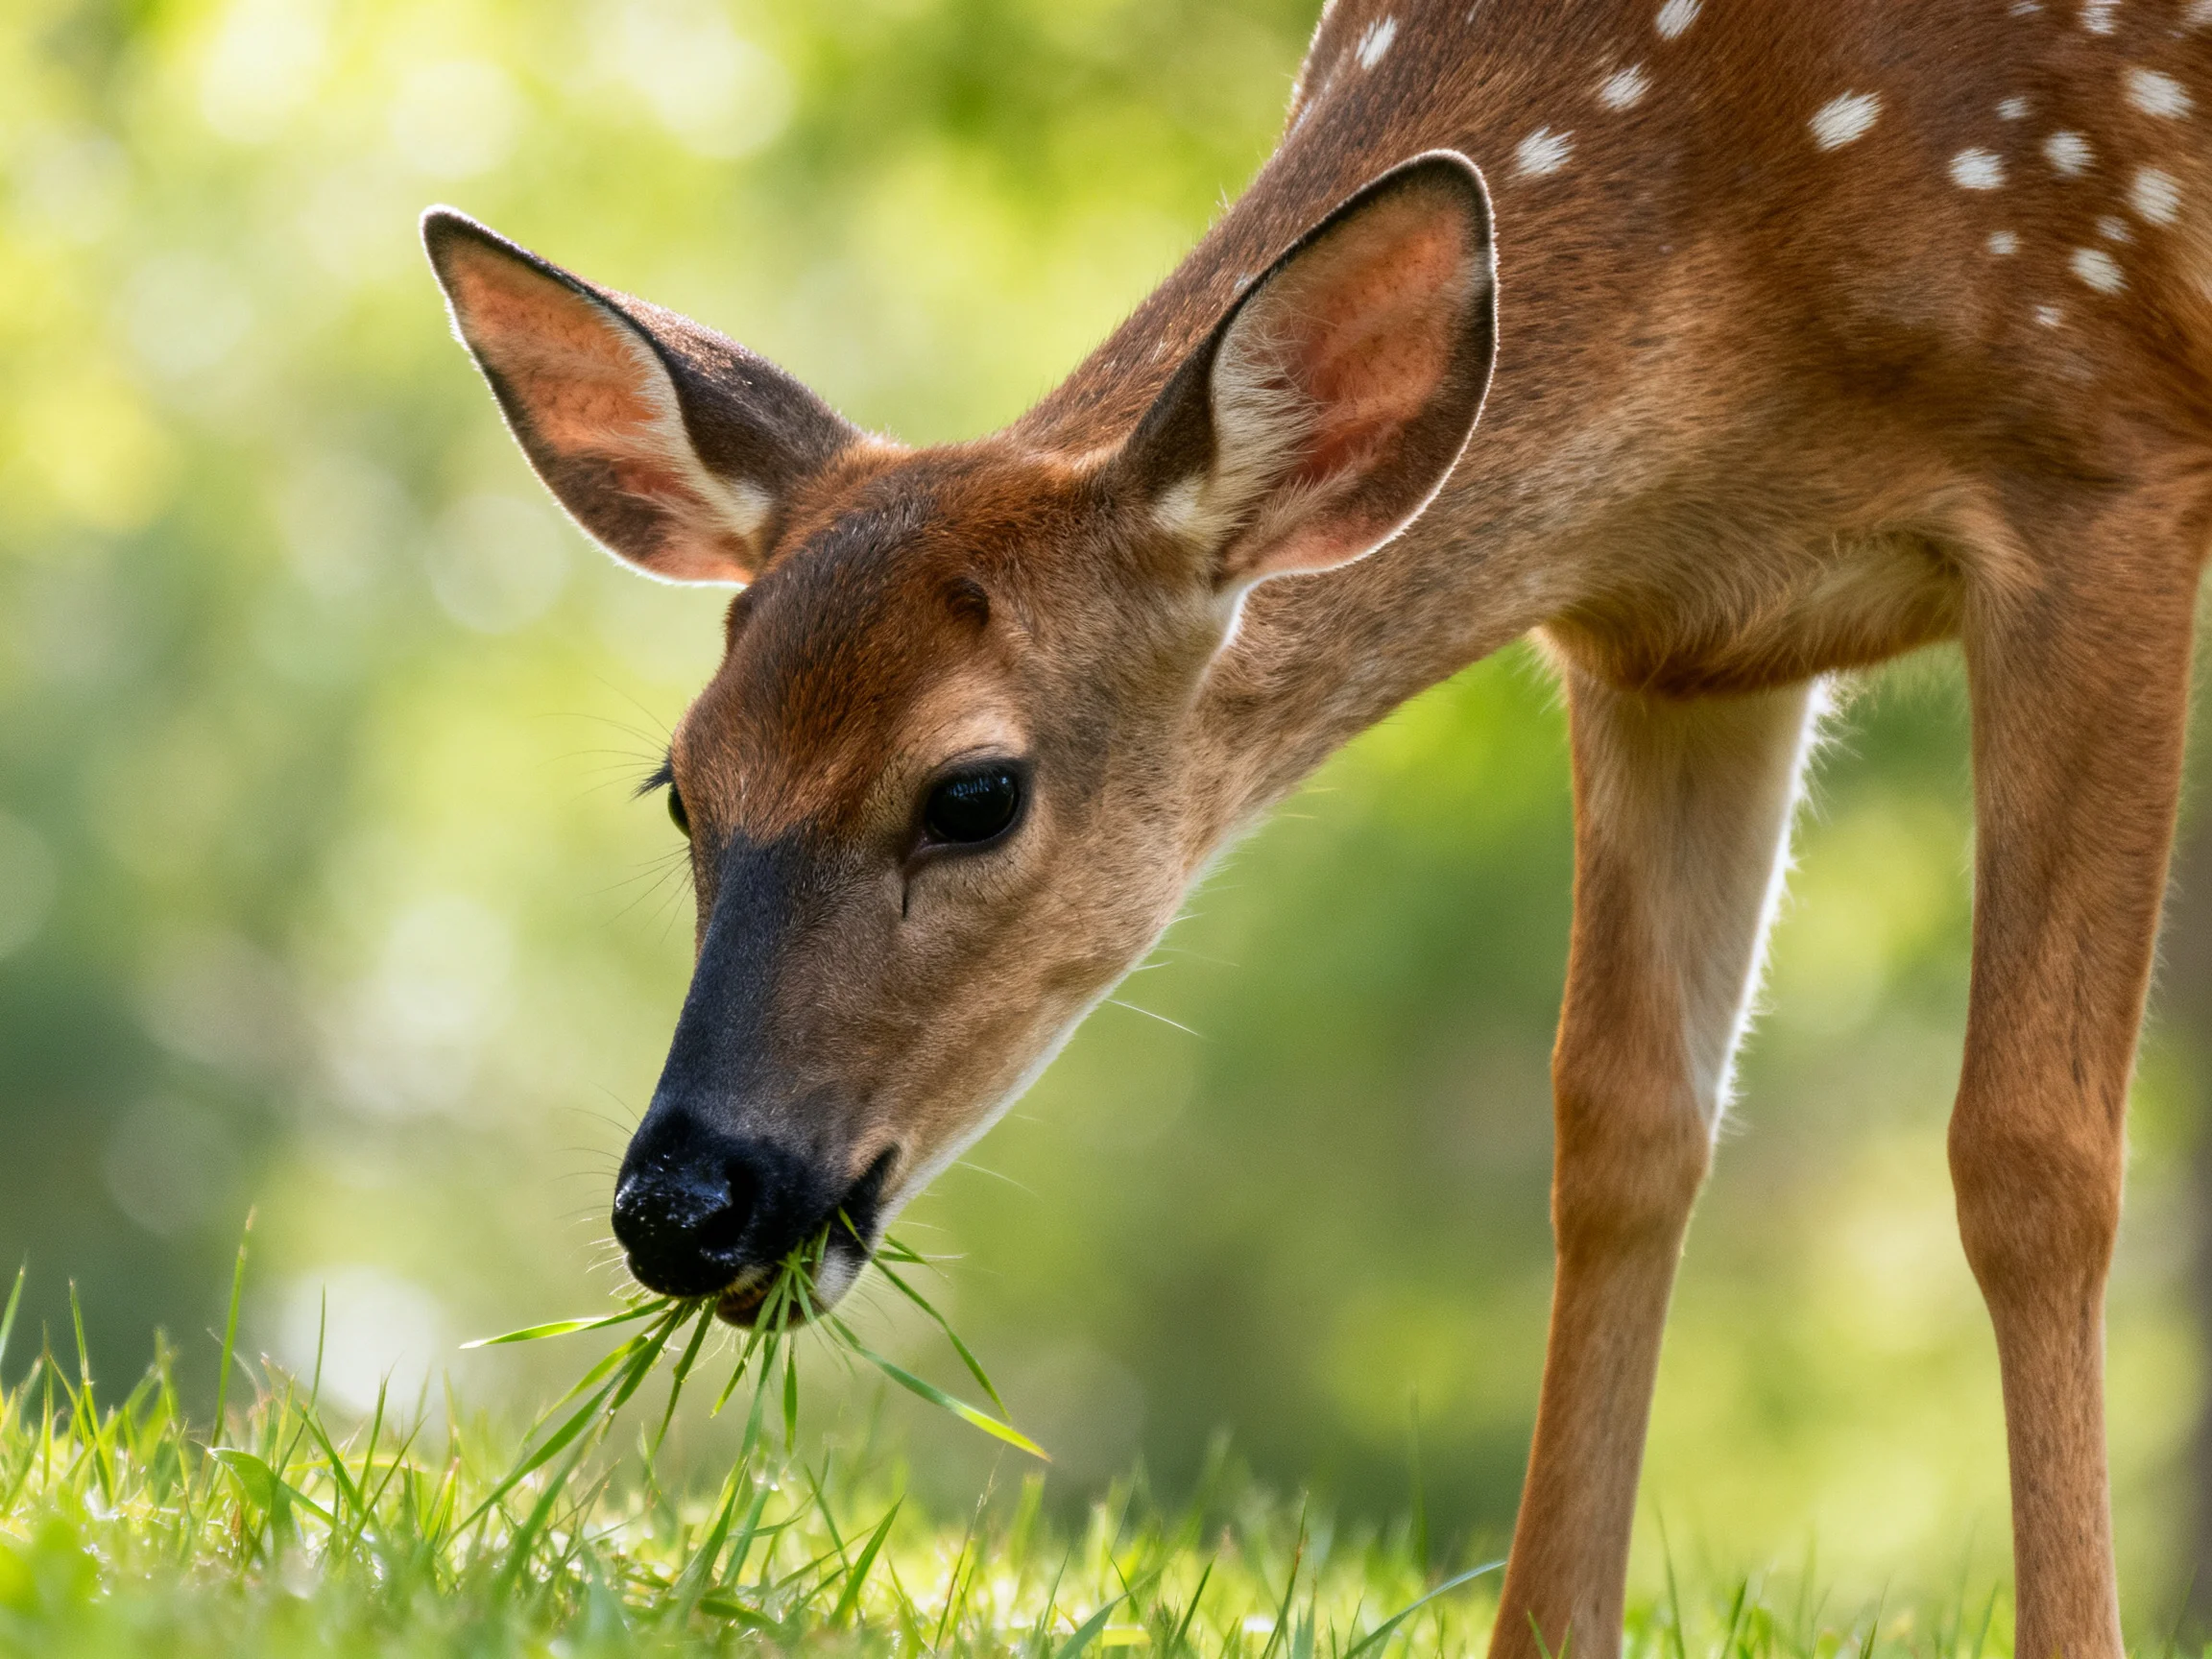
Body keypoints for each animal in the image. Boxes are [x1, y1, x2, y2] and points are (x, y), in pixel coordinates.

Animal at [420, 0, 2212, 1651]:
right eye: (681, 783)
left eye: (972, 792)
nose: (682, 1203)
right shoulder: (1679, 637)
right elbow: (1622, 1133)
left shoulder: (2103, 473)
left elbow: (2032, 1158)